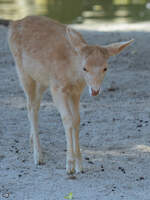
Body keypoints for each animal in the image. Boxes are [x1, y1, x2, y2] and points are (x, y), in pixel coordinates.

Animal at [7, 16, 133, 174]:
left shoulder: (76, 92)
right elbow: (67, 119)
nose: (95, 90)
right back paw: (38, 157)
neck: (71, 74)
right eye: (84, 68)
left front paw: (80, 166)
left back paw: (33, 144)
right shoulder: (57, 88)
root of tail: (13, 23)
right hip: (23, 72)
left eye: (105, 68)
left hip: (42, 80)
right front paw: (70, 166)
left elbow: (77, 119)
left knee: (35, 105)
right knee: (30, 107)